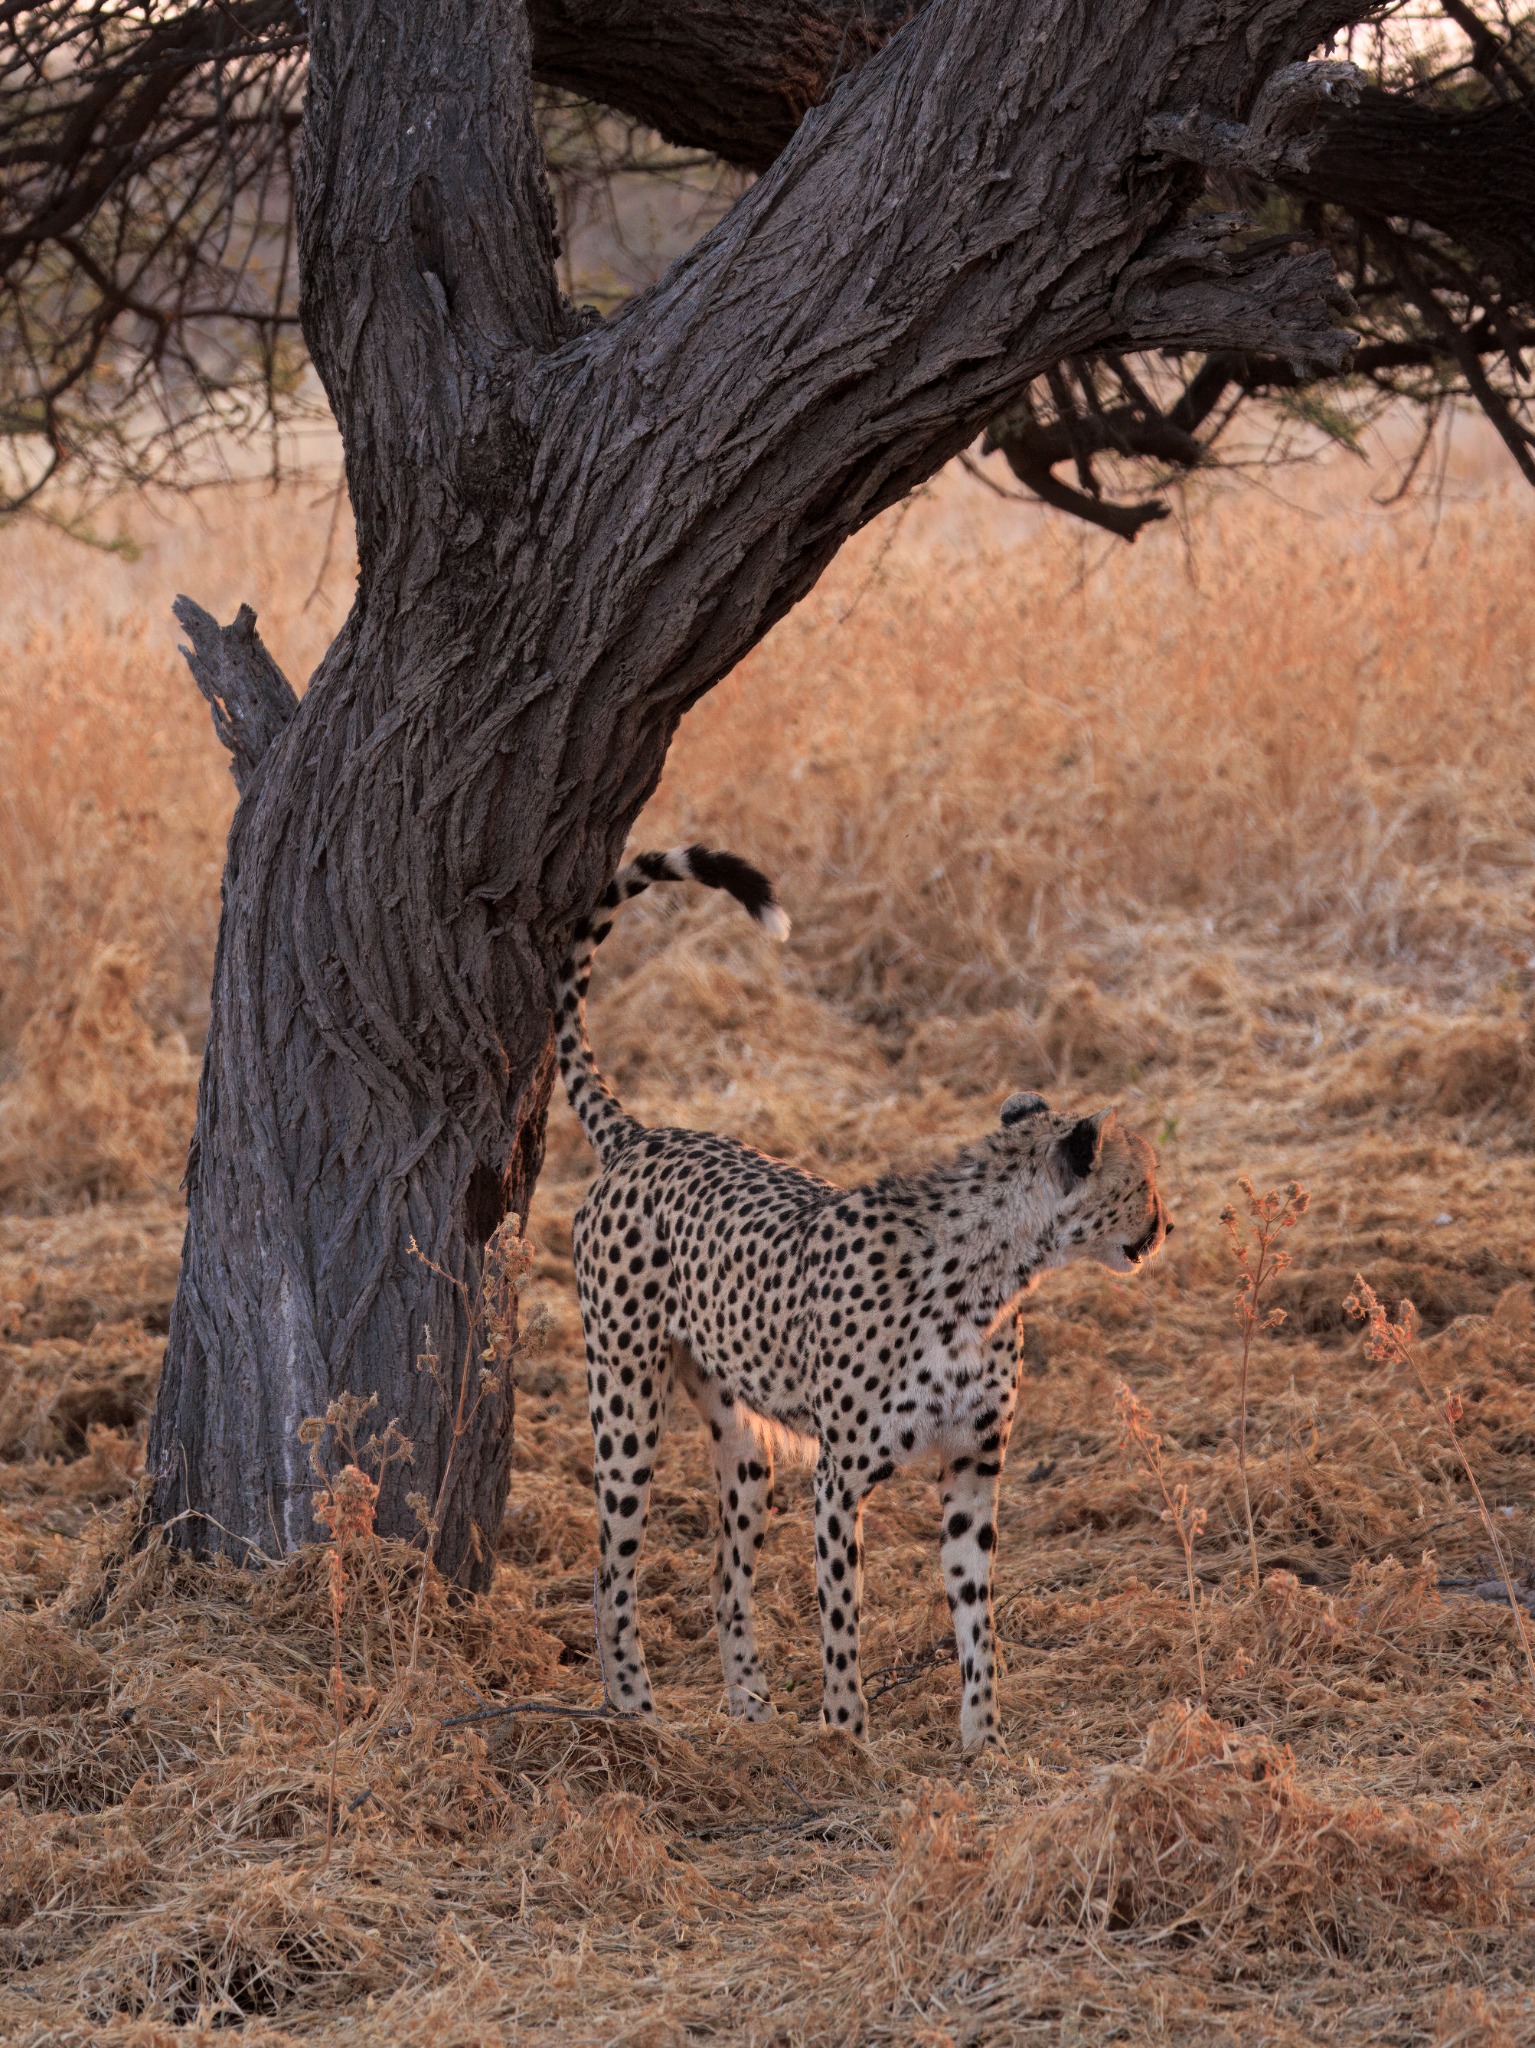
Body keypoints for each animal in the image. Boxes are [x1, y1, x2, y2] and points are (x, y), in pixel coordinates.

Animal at [558, 845, 1171, 1750]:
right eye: (1143, 1181)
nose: (1165, 1227)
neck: (989, 1277)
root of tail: (648, 1137)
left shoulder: (971, 1469)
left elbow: (975, 1612)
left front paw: (983, 1742)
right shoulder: (839, 1478)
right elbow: (841, 1616)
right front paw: (847, 1738)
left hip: (743, 1445)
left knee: (723, 1571)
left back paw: (748, 1706)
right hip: (626, 1400)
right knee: (610, 1568)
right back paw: (632, 1711)